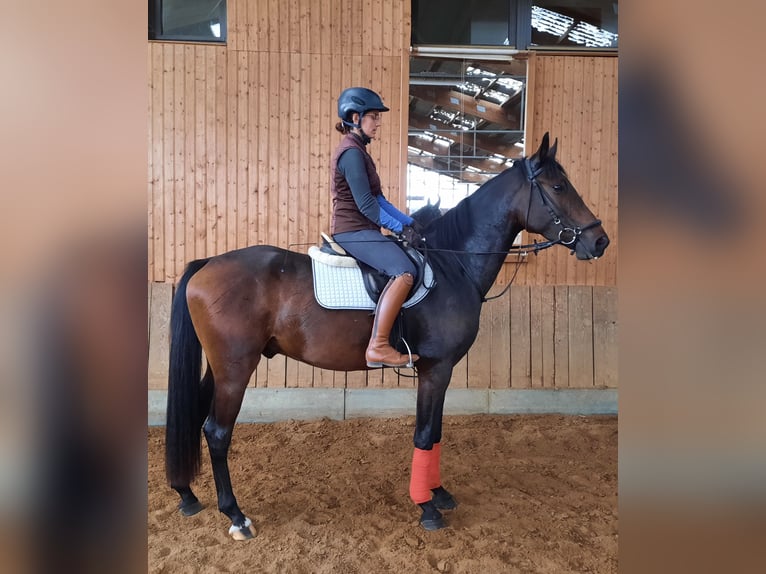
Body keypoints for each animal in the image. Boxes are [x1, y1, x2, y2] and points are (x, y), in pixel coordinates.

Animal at [165, 133, 610, 539]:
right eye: (558, 187)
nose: (600, 240)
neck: (453, 266)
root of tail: (209, 263)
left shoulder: (438, 370)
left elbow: (435, 432)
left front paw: (439, 493)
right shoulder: (436, 368)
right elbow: (425, 433)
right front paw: (427, 507)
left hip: (220, 368)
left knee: (196, 416)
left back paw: (187, 494)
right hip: (236, 369)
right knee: (217, 432)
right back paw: (235, 516)